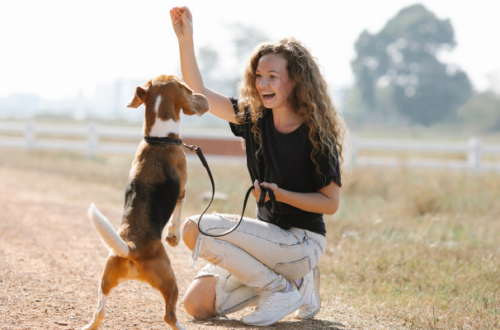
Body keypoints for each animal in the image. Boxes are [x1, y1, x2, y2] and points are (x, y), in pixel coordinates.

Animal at [82, 75, 209, 330]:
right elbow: (177, 216)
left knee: (99, 313)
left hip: (105, 279)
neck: (158, 140)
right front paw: (173, 237)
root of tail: (132, 247)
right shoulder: (182, 191)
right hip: (170, 280)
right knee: (169, 316)